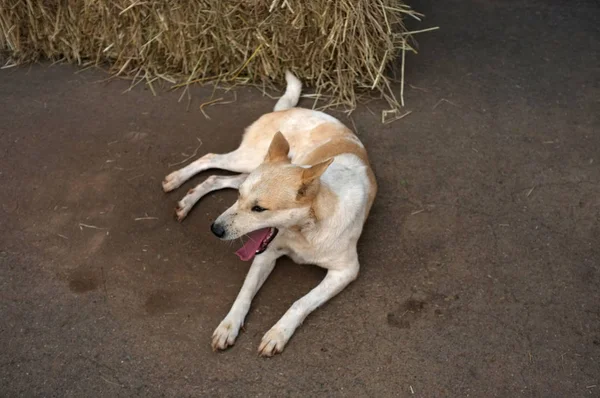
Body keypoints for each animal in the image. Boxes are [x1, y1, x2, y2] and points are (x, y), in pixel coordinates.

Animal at [163, 72, 376, 358]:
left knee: (215, 178)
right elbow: (244, 294)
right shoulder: (265, 254)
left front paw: (277, 333)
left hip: (247, 168)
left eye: (259, 209)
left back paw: (186, 200)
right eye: (241, 199)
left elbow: (300, 302)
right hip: (248, 159)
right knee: (210, 158)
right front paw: (228, 326)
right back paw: (177, 179)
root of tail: (288, 109)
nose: (214, 229)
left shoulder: (345, 271)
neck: (305, 231)